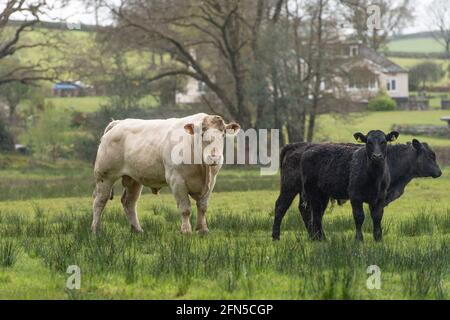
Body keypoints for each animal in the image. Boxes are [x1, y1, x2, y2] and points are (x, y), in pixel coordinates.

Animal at [90, 114, 239, 234]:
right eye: (202, 134)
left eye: (223, 134)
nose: (214, 158)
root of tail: (118, 123)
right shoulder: (176, 180)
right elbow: (185, 208)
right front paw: (186, 230)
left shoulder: (211, 182)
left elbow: (202, 207)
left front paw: (203, 229)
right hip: (105, 176)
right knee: (100, 201)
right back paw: (95, 230)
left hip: (133, 179)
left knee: (129, 203)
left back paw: (138, 230)